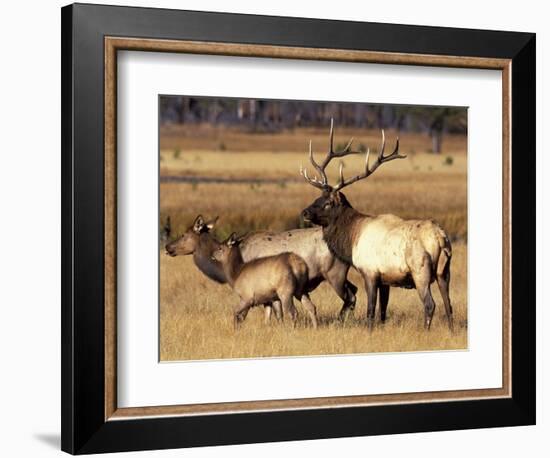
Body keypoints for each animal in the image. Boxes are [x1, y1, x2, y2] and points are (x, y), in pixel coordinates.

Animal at [300, 120, 454, 330]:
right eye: (318, 197)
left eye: (328, 202)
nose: (305, 212)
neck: (352, 238)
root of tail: (440, 238)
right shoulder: (385, 279)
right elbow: (383, 310)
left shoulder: (370, 272)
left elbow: (371, 310)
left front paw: (369, 331)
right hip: (444, 271)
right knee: (449, 305)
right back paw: (452, 332)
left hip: (420, 270)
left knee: (430, 304)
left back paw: (426, 331)